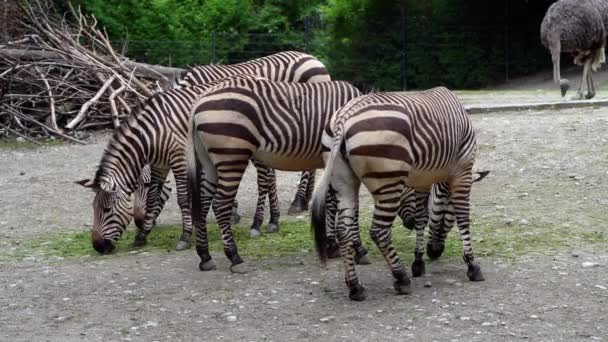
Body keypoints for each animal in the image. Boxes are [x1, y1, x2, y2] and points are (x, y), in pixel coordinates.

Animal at [75, 76, 280, 255]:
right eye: (93, 209)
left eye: (107, 210)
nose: (98, 247)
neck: (152, 133)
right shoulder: (160, 165)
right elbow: (153, 199)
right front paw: (142, 235)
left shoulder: (179, 160)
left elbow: (182, 198)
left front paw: (185, 236)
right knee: (270, 176)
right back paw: (274, 221)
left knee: (264, 180)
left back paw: (257, 224)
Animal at [188, 77, 364, 272]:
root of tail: (200, 100)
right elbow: (351, 206)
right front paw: (358, 249)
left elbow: (332, 203)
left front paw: (332, 245)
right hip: (232, 156)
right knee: (220, 205)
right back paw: (234, 257)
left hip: (208, 160)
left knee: (203, 203)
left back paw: (205, 256)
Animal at [314, 87, 484, 300]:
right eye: (449, 217)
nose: (434, 252)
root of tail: (344, 116)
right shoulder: (463, 172)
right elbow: (463, 218)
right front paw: (472, 265)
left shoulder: (422, 181)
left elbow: (421, 218)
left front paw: (418, 262)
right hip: (388, 182)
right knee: (379, 231)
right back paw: (401, 278)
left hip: (344, 182)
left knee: (343, 231)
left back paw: (355, 287)